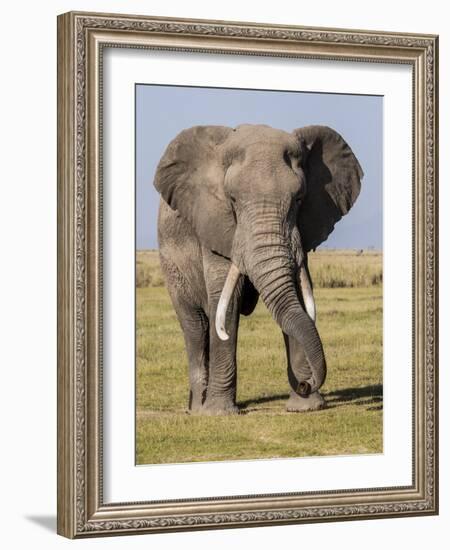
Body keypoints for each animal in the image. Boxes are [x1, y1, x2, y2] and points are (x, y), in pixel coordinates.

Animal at [153, 125, 364, 416]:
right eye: (231, 200)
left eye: (299, 199)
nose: (306, 384)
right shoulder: (215, 225)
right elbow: (226, 305)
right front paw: (219, 414)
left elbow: (297, 296)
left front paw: (305, 408)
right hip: (170, 262)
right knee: (195, 325)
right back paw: (197, 409)